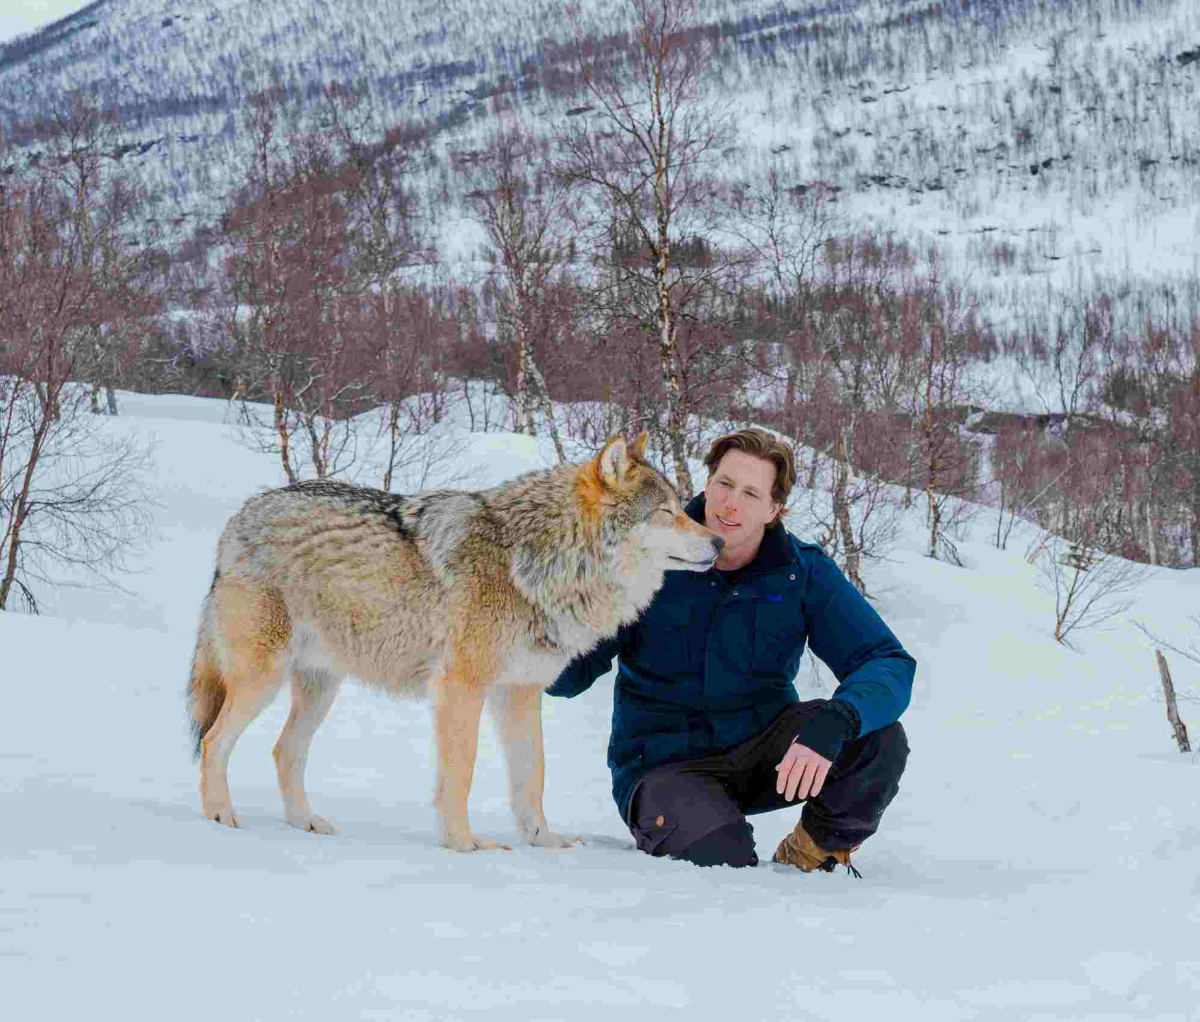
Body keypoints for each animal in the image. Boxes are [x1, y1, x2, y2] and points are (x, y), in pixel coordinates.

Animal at [186, 432, 722, 851]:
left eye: (683, 509)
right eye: (666, 512)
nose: (718, 542)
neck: (536, 560)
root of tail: (240, 517)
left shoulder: (520, 693)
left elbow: (533, 775)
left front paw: (543, 840)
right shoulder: (461, 686)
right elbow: (461, 770)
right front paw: (464, 844)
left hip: (320, 688)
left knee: (283, 752)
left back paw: (306, 823)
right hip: (263, 680)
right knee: (213, 741)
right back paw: (220, 816)